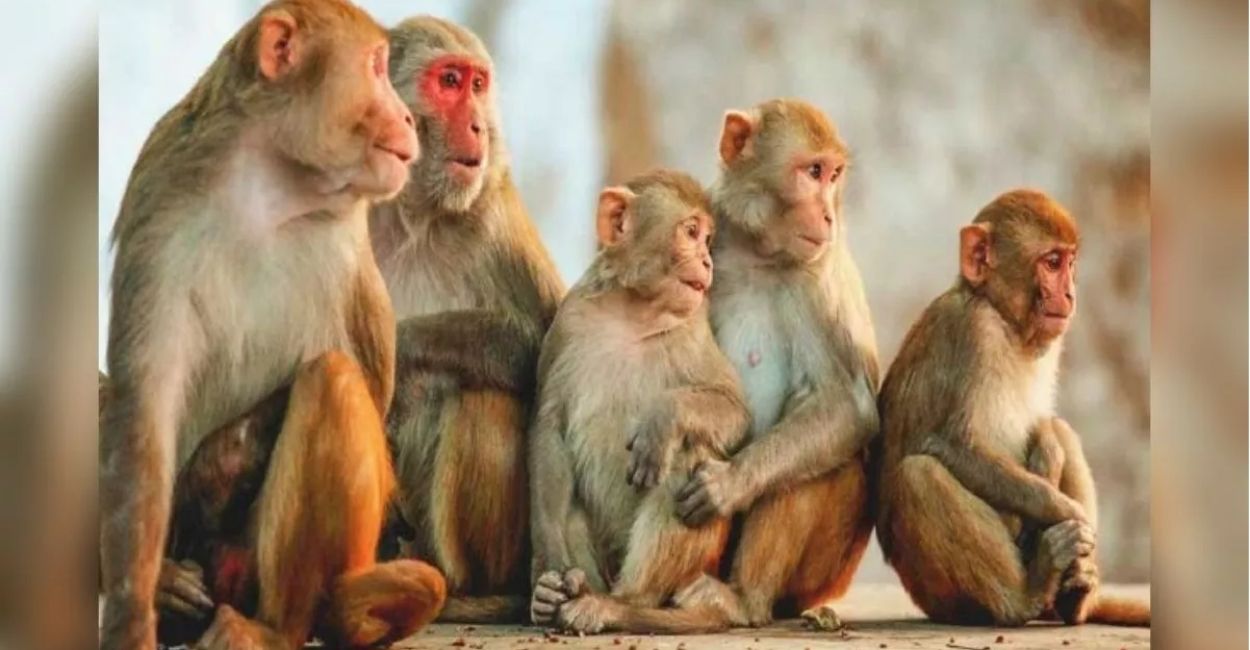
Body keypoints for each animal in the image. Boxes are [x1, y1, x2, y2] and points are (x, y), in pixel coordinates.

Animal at [98, 2, 448, 648]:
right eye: (376, 67)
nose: (409, 115)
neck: (272, 185)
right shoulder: (161, 202)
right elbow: (142, 411)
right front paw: (136, 610)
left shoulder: (346, 240)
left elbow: (369, 381)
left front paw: (216, 465)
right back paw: (173, 588)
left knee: (331, 380)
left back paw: (275, 628)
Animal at [366, 16, 566, 624]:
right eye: (449, 82)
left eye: (478, 85)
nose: (478, 124)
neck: (410, 213)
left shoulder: (492, 210)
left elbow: (547, 346)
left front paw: (399, 351)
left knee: (482, 396)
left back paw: (464, 595)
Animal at [527, 170, 752, 635]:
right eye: (691, 232)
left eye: (708, 239)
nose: (708, 263)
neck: (633, 313)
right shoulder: (568, 321)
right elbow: (549, 427)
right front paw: (549, 574)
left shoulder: (694, 329)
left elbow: (734, 411)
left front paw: (662, 420)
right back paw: (560, 597)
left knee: (688, 452)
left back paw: (620, 605)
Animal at [673, 99, 880, 629]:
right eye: (813, 172)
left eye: (833, 174)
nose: (828, 215)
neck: (757, 253)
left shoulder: (819, 278)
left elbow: (847, 405)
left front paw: (729, 484)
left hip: (826, 573)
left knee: (819, 448)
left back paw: (744, 599)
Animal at [873, 189, 1150, 627]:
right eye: (1051, 263)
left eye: (1070, 262)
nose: (1070, 294)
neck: (1002, 318)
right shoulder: (974, 331)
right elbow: (956, 445)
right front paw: (1065, 509)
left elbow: (1045, 426)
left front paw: (1049, 452)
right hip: (937, 594)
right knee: (919, 475)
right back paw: (1028, 593)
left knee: (1065, 432)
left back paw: (1075, 594)